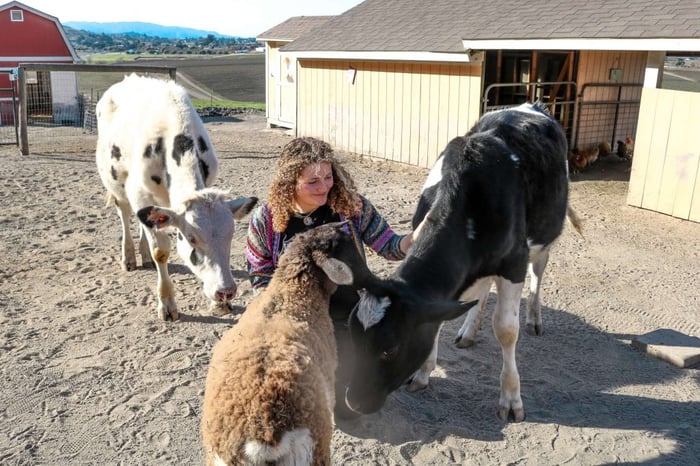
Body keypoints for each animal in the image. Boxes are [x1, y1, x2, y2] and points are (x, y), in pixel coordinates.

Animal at [94, 74, 256, 320]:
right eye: (191, 238)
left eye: (230, 235)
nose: (225, 291)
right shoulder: (138, 191)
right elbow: (161, 251)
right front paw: (167, 303)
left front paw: (218, 303)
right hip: (116, 183)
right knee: (124, 214)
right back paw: (129, 257)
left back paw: (144, 254)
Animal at [346, 102, 576, 422]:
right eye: (352, 339)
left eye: (390, 349)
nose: (352, 402)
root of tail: (529, 105)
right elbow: (439, 320)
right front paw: (423, 373)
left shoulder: (513, 264)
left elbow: (506, 329)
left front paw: (511, 398)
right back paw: (469, 329)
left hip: (546, 237)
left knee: (538, 273)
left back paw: (533, 318)